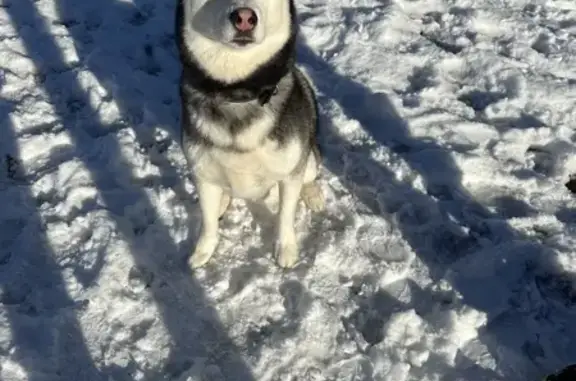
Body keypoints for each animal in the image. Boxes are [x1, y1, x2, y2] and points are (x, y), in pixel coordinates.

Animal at [173, 0, 326, 268]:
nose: (244, 18)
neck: (238, 93)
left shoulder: (290, 171)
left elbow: (286, 214)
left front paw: (285, 248)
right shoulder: (201, 171)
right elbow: (208, 221)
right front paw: (204, 250)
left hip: (308, 154)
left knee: (310, 173)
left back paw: (313, 193)